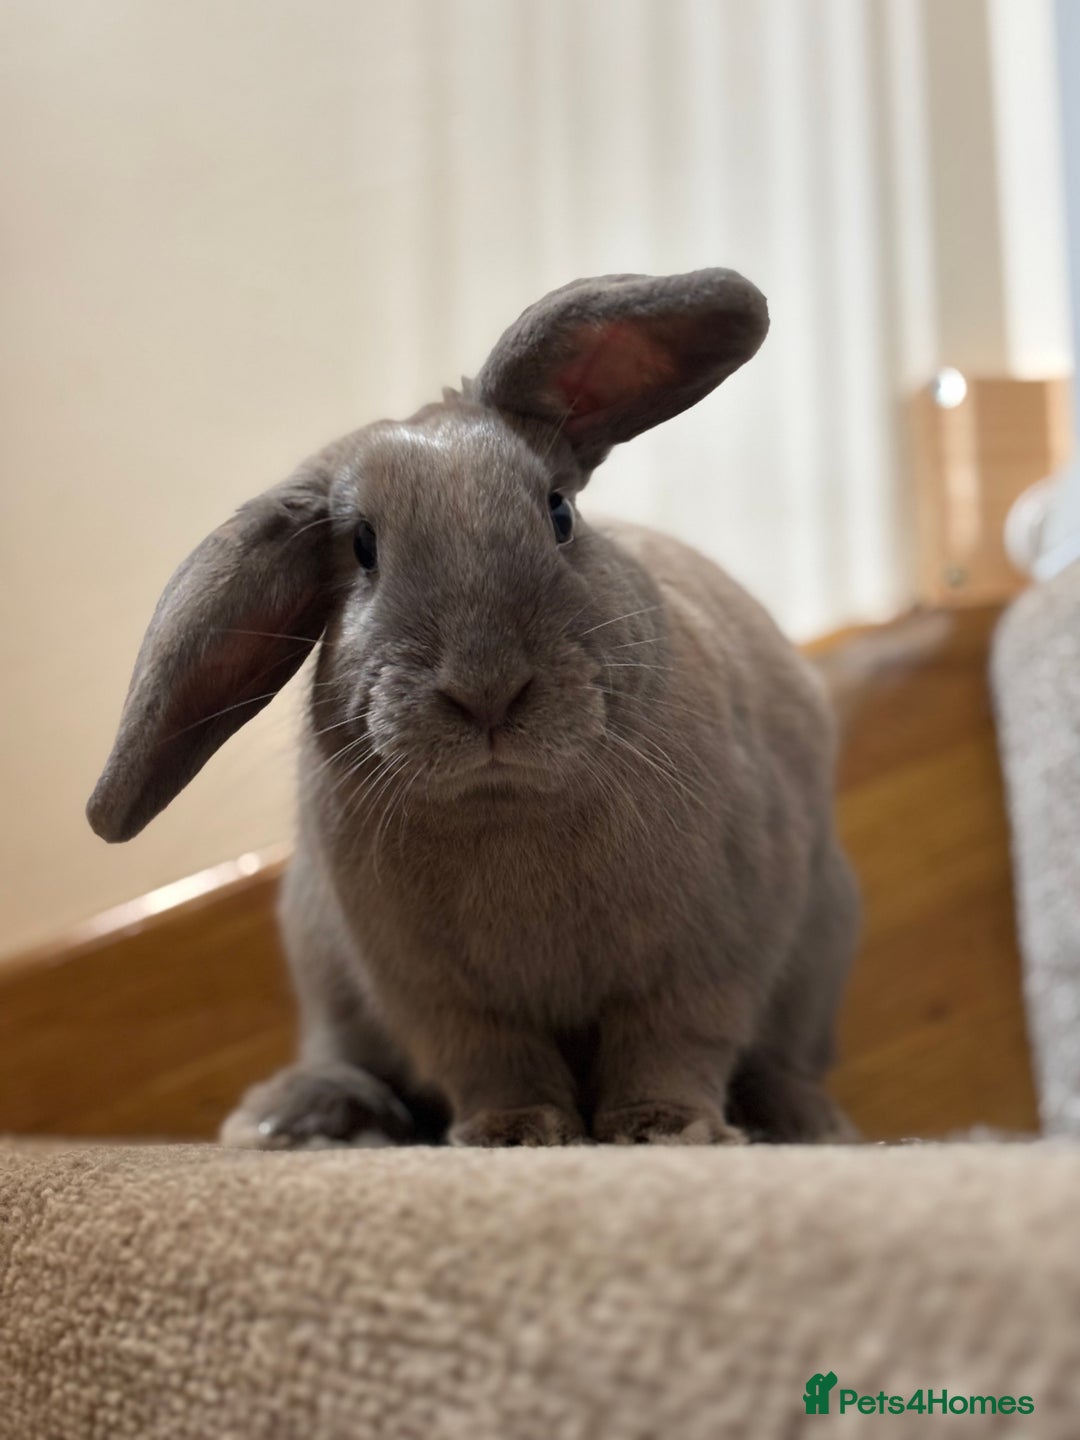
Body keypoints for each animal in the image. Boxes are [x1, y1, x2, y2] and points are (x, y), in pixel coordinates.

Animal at [87, 268, 859, 1149]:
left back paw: (802, 1120)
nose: (486, 689)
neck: (508, 802)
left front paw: (661, 1131)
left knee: (779, 1062)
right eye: (363, 548)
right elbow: (494, 1063)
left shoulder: (705, 958)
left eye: (559, 512)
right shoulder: (436, 998)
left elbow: (671, 1046)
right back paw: (297, 1118)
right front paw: (515, 1136)